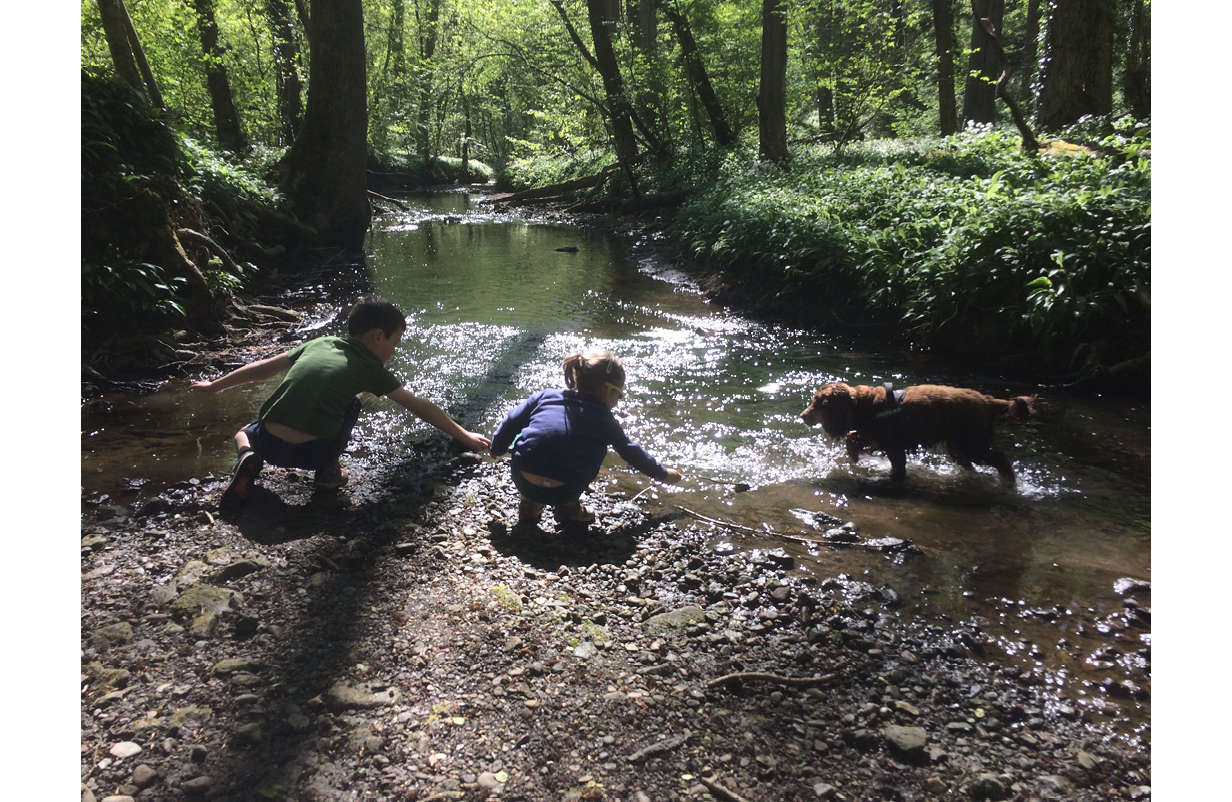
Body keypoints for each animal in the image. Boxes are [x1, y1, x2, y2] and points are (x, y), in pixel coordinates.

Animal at [803, 381, 1034, 482]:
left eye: (818, 403)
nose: (803, 416)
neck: (866, 404)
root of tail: (988, 400)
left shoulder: (894, 445)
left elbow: (897, 466)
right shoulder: (876, 437)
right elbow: (852, 437)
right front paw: (854, 456)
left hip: (973, 443)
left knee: (1000, 458)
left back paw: (1009, 484)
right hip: (957, 445)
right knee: (969, 464)